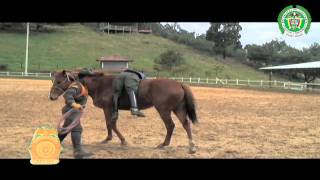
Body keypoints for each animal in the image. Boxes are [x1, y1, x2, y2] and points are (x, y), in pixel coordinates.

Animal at [49, 70, 198, 153]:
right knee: (186, 125)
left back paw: (164, 144)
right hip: (178, 109)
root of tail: (179, 83)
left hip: (164, 110)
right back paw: (191, 146)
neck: (100, 84)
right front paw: (108, 139)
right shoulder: (108, 109)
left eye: (59, 81)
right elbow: (109, 124)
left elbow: (111, 124)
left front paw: (122, 140)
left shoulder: (108, 108)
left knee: (170, 126)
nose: (51, 96)